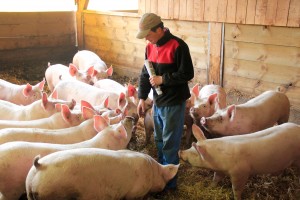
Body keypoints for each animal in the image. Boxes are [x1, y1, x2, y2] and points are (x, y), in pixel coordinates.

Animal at [25, 148, 178, 199]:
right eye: (165, 179)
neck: (153, 171)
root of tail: (39, 166)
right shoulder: (135, 193)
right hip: (54, 193)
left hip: (29, 192)